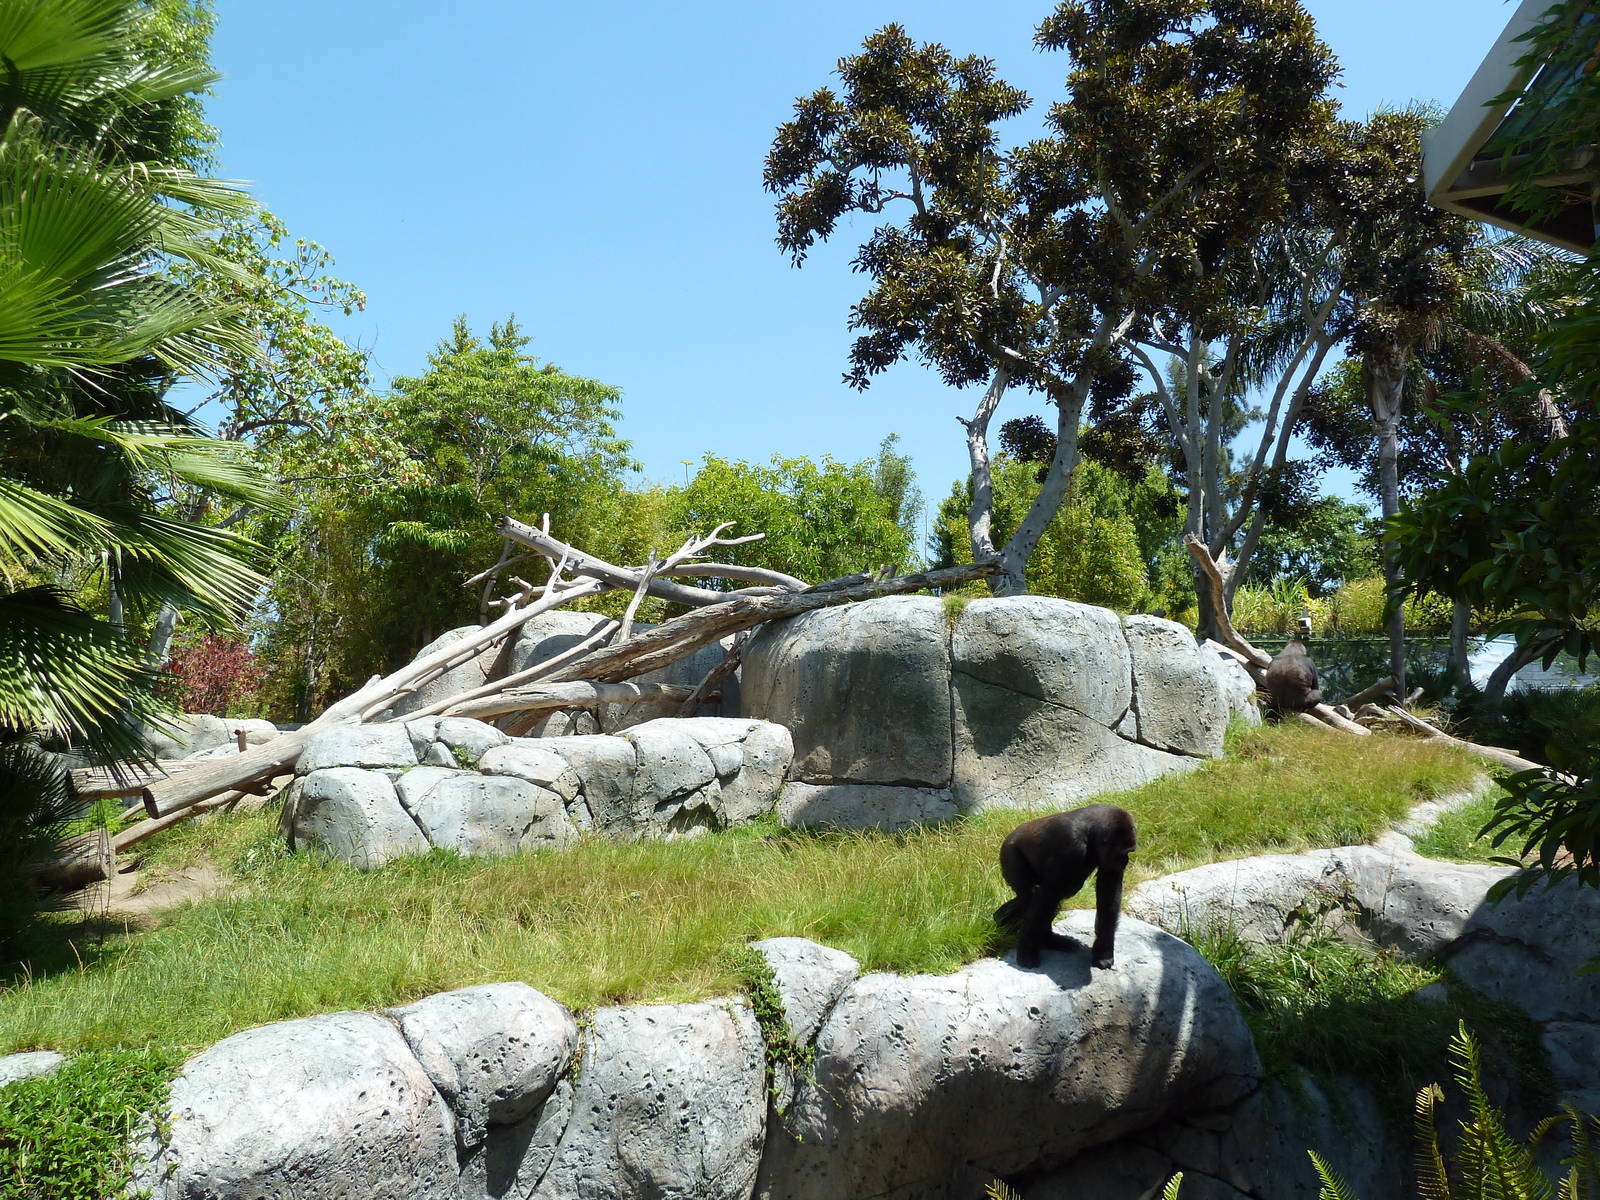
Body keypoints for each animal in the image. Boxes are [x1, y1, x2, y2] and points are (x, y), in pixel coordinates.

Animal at [994, 804, 1136, 971]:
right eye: (1122, 853)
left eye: (1129, 852)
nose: (1125, 861)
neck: (1091, 834)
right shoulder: (1071, 847)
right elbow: (1048, 893)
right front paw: (1026, 952)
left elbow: (1108, 893)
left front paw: (1104, 952)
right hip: (1010, 854)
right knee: (1036, 895)